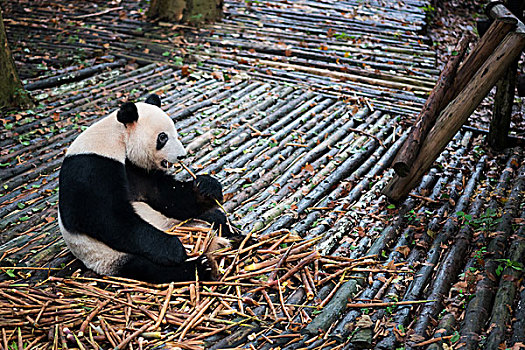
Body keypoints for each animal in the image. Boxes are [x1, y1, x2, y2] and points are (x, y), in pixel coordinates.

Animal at [56, 93, 232, 284]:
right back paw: (203, 266)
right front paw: (173, 248)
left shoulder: (137, 170)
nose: (181, 156)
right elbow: (108, 218)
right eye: (162, 137)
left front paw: (206, 188)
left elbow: (165, 196)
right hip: (111, 256)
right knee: (152, 269)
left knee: (215, 219)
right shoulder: (91, 167)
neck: (117, 138)